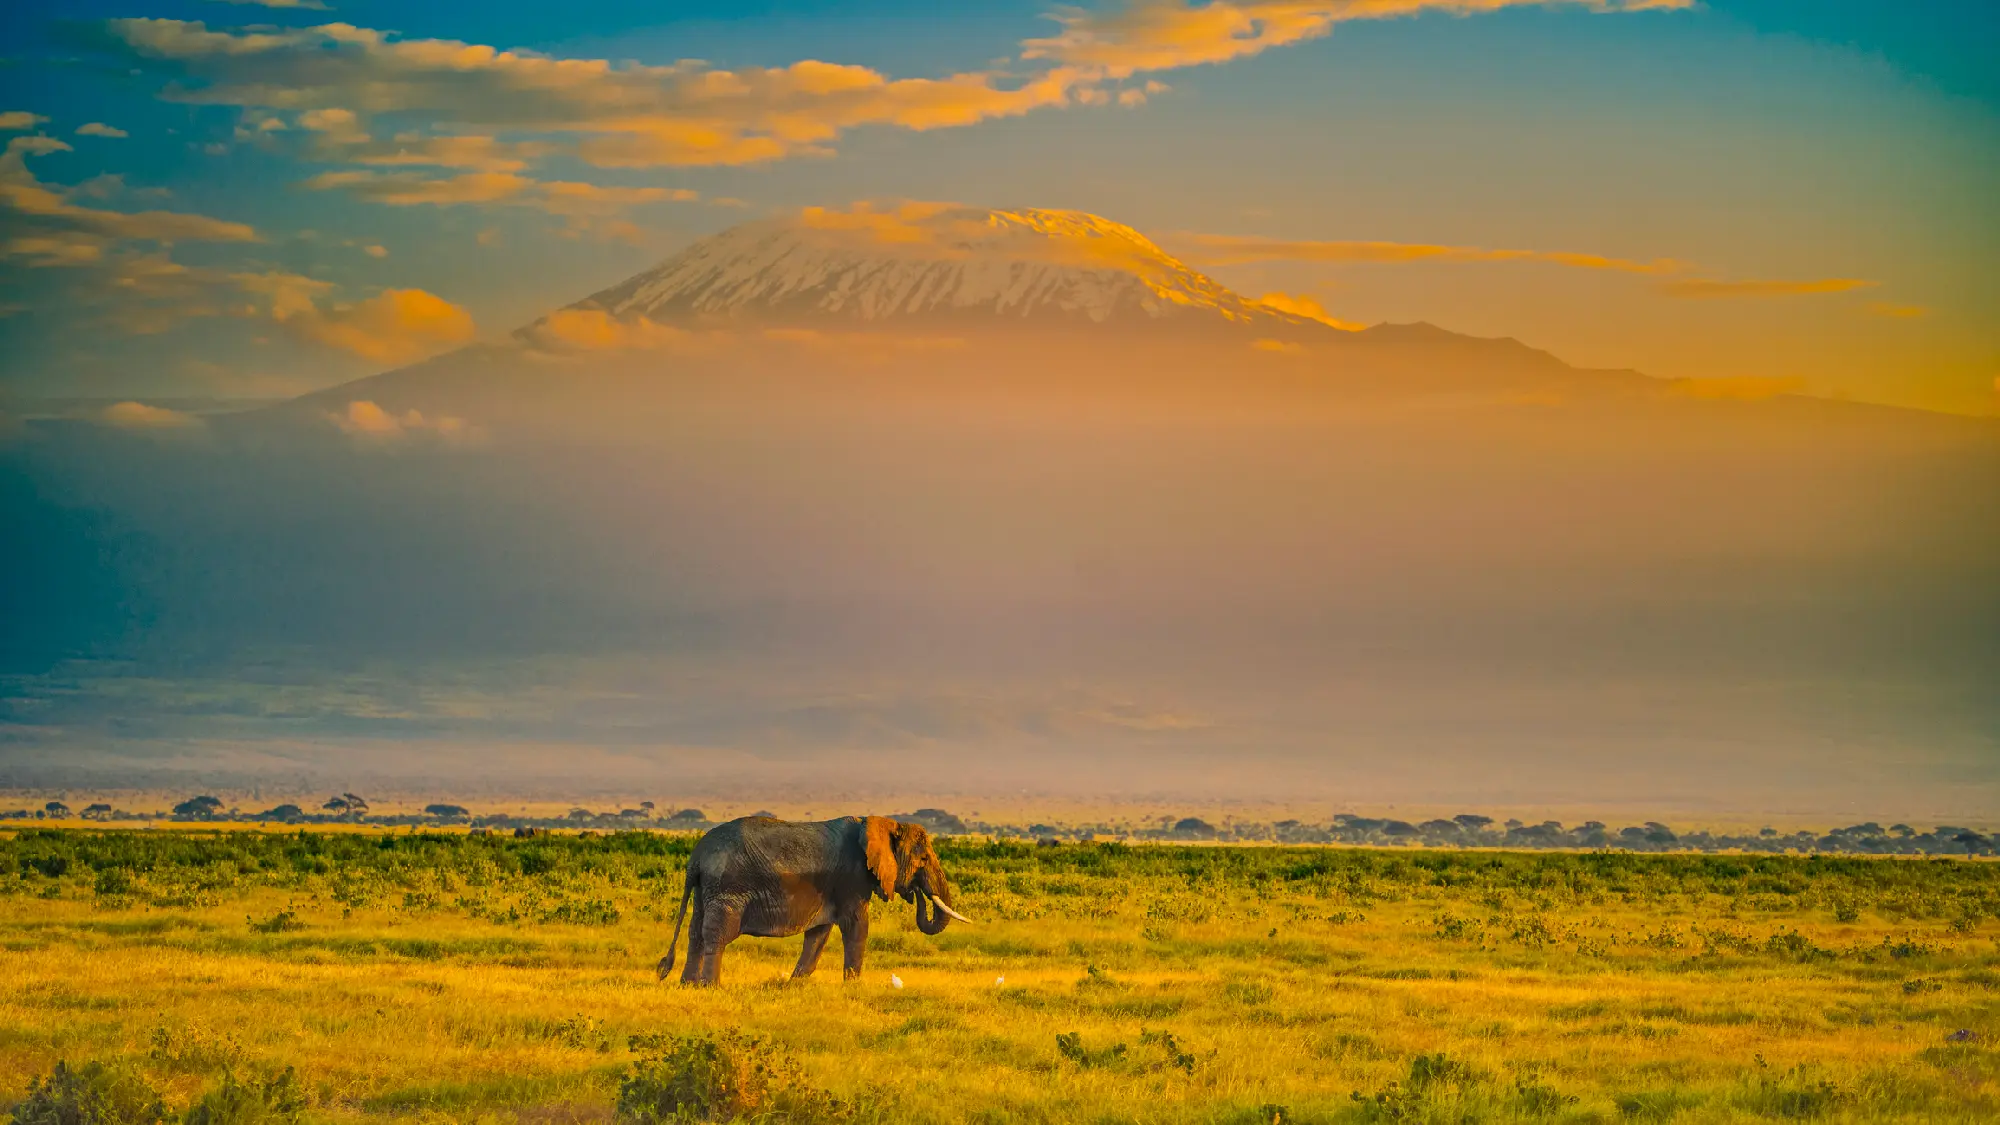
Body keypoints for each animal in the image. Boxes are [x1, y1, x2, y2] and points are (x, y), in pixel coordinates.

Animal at [658, 815, 971, 985]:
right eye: (923, 858)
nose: (915, 893)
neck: (882, 823)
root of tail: (697, 856)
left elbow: (819, 933)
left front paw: (794, 985)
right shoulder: (852, 879)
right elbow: (857, 926)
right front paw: (853, 987)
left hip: (705, 888)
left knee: (695, 931)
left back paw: (688, 986)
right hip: (727, 886)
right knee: (717, 933)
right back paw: (711, 987)